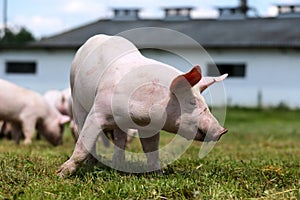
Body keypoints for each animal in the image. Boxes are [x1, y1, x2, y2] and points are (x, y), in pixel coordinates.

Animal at [56, 34, 227, 177]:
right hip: (76, 100)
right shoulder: (98, 112)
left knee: (120, 138)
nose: (222, 130)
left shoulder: (150, 127)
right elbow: (83, 145)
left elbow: (151, 150)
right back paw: (92, 164)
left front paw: (158, 174)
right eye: (192, 103)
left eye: (204, 103)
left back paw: (119, 163)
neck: (140, 117)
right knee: (80, 127)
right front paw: (61, 174)